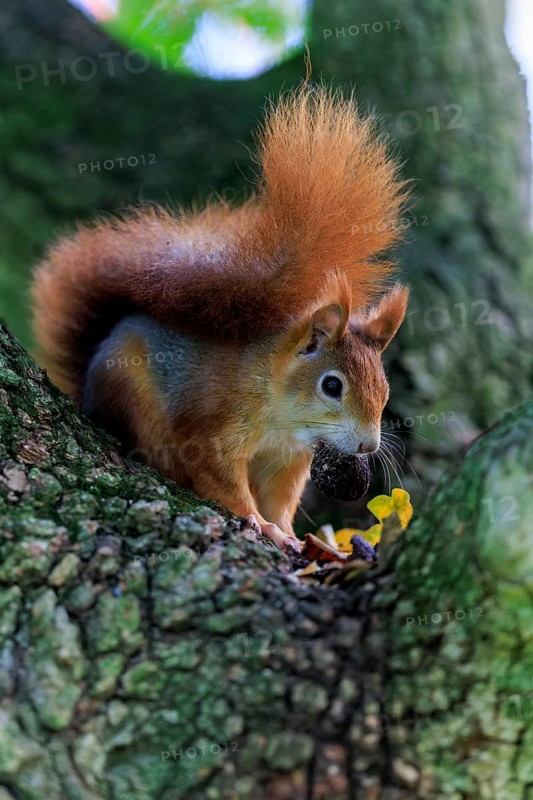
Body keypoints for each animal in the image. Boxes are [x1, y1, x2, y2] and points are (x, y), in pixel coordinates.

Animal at [31, 85, 409, 553]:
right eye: (332, 386)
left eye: (384, 389)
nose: (367, 445)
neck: (281, 409)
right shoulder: (211, 425)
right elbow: (221, 479)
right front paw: (258, 522)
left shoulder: (286, 456)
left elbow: (279, 497)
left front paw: (289, 532)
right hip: (127, 389)